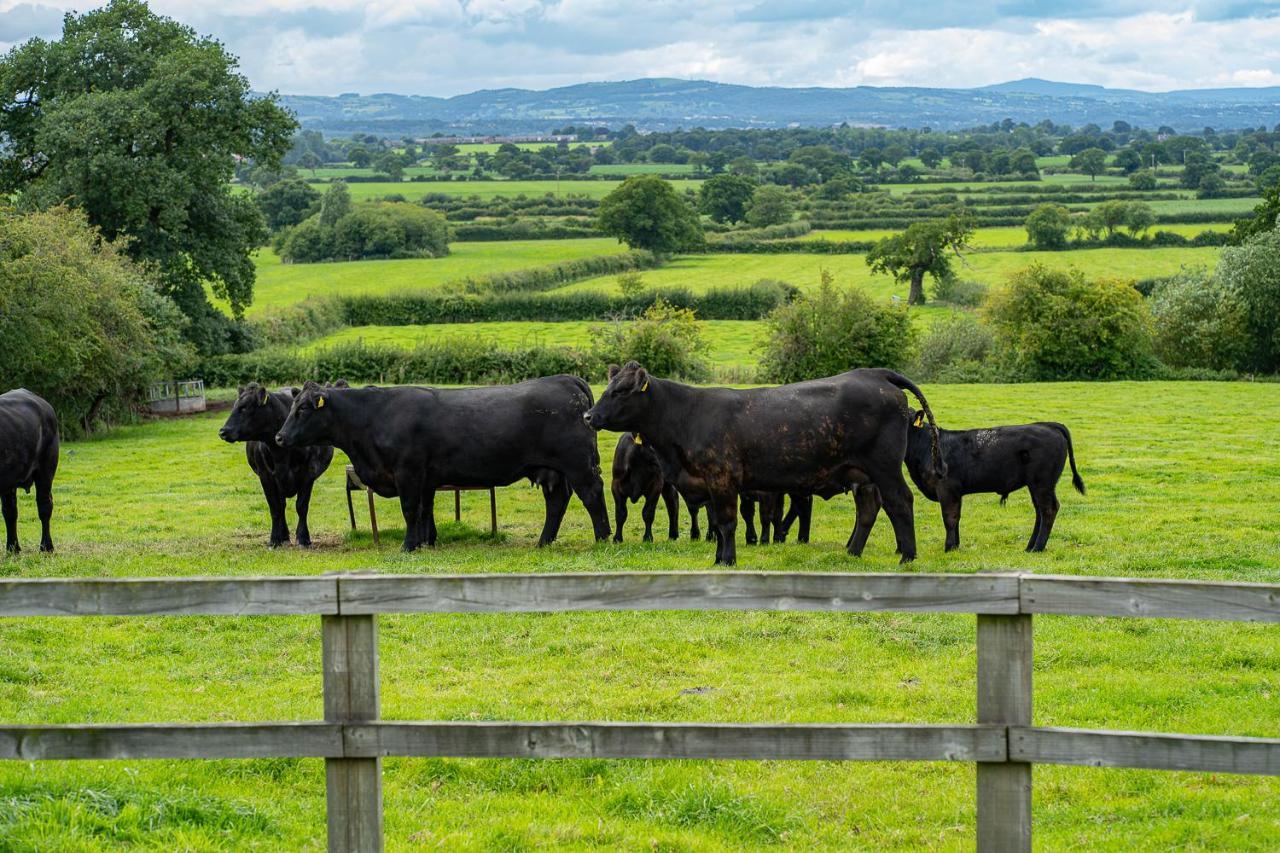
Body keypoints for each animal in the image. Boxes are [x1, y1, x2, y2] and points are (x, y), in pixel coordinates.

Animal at [0, 386, 58, 550]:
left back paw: (46, 546)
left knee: (45, 506)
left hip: (46, 469)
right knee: (10, 511)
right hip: (9, 481)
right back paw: (13, 548)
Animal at [217, 379, 335, 545]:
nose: (223, 431)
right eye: (234, 406)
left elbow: (301, 506)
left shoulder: (308, 473)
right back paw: (284, 536)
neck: (280, 453)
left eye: (244, 407)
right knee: (281, 506)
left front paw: (303, 538)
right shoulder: (265, 476)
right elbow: (275, 507)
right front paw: (274, 539)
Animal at [277, 376, 606, 548]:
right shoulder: (426, 478)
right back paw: (544, 542)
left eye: (303, 409)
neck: (373, 416)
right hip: (552, 471)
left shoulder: (407, 472)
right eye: (292, 406)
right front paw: (426, 542)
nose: (279, 437)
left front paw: (408, 545)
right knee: (557, 501)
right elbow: (425, 511)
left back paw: (603, 538)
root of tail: (565, 380)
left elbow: (410, 510)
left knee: (592, 494)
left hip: (579, 465)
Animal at [586, 361, 947, 563]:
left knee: (900, 502)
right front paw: (718, 557)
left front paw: (727, 561)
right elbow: (718, 523)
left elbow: (727, 523)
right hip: (863, 474)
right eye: (608, 387)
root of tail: (875, 374)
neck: (687, 415)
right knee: (870, 508)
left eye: (621, 391)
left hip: (884, 467)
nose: (589, 415)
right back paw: (854, 552)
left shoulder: (722, 478)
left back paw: (907, 556)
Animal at [855, 409, 1085, 550]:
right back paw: (1030, 546)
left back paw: (1037, 547)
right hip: (1035, 484)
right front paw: (955, 546)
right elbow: (956, 518)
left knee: (1048, 509)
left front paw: (948, 547)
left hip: (1042, 482)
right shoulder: (956, 492)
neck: (926, 447)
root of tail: (1048, 425)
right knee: (1040, 511)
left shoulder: (947, 488)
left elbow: (949, 518)